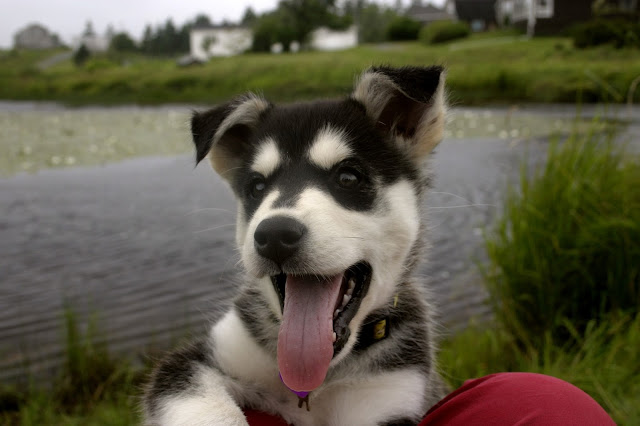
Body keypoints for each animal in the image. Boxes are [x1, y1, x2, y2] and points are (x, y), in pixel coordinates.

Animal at [143, 65, 448, 424]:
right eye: (256, 186)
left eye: (348, 177)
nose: (274, 235)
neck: (312, 385)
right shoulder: (194, 361)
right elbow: (204, 406)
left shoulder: (391, 391)